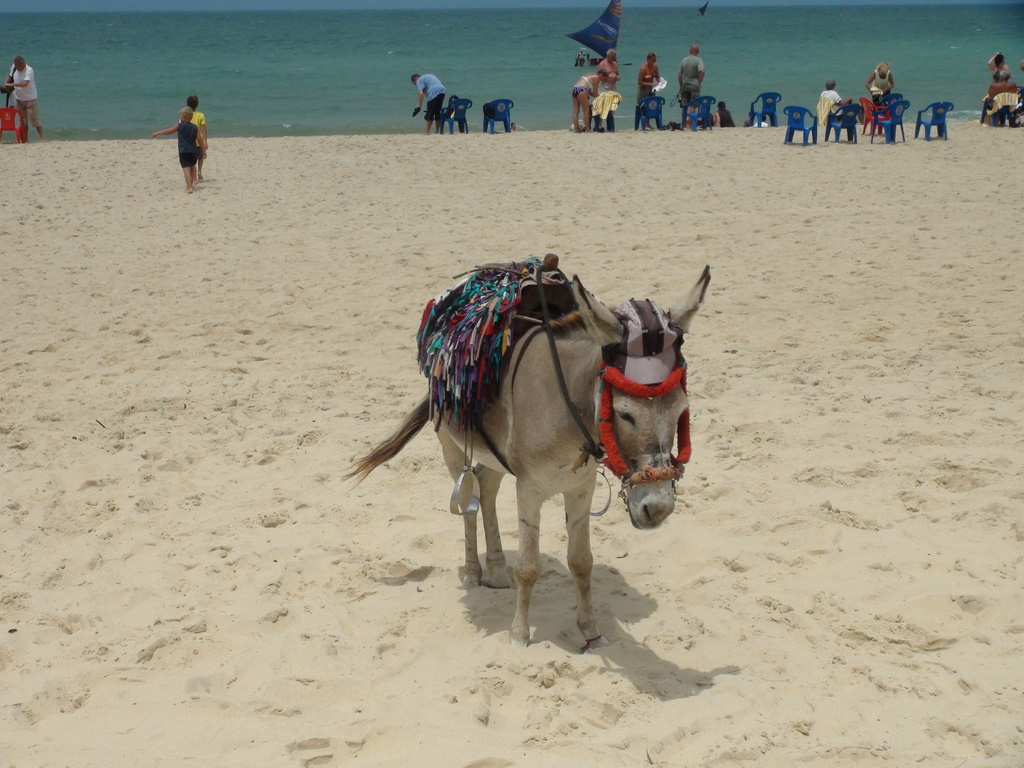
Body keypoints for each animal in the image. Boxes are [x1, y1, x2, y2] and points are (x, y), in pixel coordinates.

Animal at [348, 263, 710, 649]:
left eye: (682, 410)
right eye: (625, 415)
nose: (659, 509)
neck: (568, 407)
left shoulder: (581, 487)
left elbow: (581, 561)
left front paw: (590, 630)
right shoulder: (530, 488)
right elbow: (528, 566)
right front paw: (519, 635)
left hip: (498, 457)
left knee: (487, 488)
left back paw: (495, 569)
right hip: (451, 445)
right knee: (467, 498)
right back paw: (474, 570)